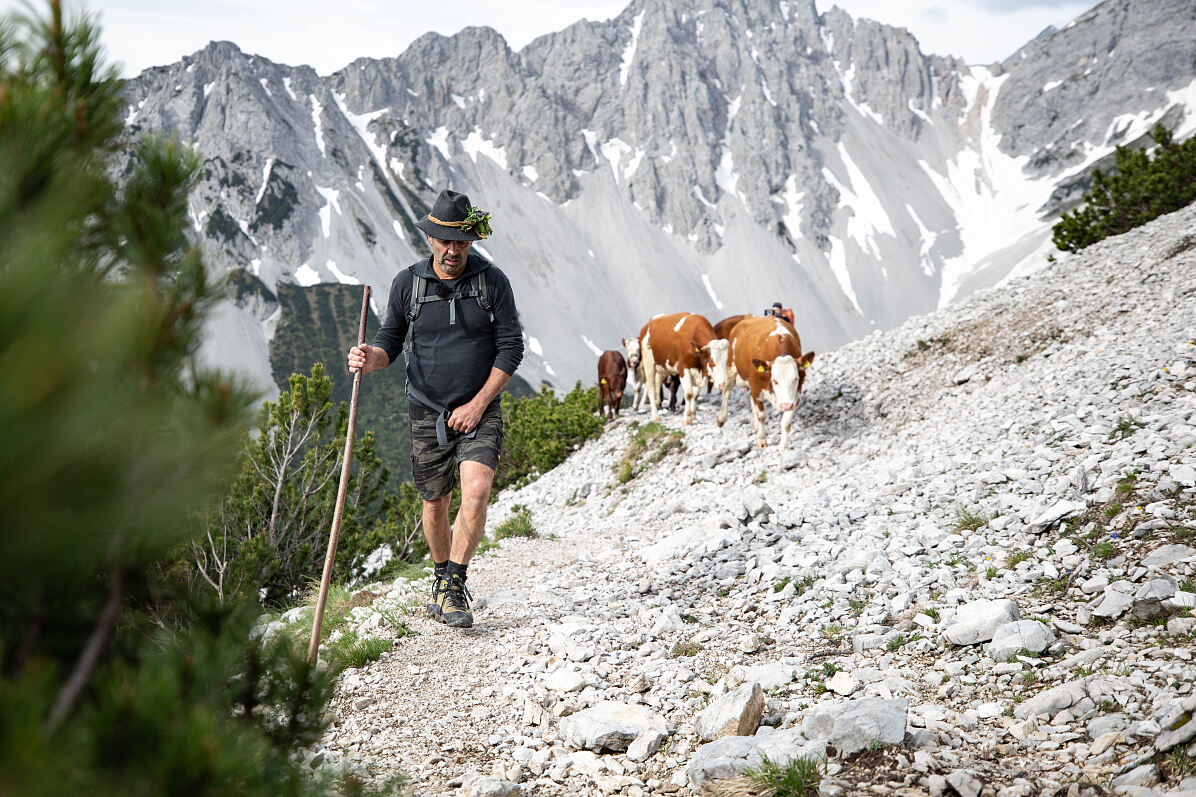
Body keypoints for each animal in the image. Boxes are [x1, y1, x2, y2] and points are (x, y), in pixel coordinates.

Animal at [712, 315, 818, 452]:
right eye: (775, 380)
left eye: (796, 378)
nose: (786, 406)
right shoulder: (757, 389)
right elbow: (762, 415)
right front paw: (762, 441)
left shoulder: (795, 396)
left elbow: (786, 422)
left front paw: (783, 446)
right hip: (731, 367)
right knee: (727, 391)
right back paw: (721, 418)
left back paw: (756, 427)